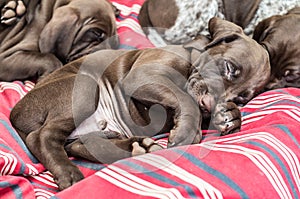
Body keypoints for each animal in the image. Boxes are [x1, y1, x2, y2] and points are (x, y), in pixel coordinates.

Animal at [10, 18, 270, 190]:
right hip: (83, 88)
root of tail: (16, 113)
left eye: (242, 98)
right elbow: (185, 98)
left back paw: (138, 147)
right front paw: (186, 132)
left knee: (81, 145)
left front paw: (229, 116)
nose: (209, 105)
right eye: (229, 68)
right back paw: (68, 173)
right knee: (42, 137)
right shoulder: (142, 77)